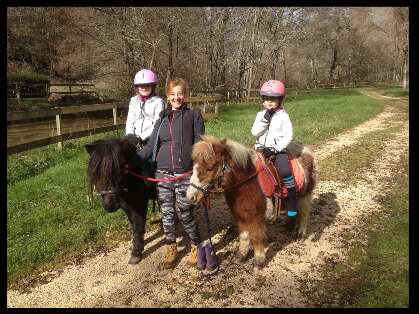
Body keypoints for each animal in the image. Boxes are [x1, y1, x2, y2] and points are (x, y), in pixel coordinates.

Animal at [187, 135, 318, 268]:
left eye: (209, 168)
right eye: (193, 166)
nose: (190, 196)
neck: (247, 182)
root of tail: (307, 150)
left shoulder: (256, 217)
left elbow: (256, 236)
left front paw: (259, 260)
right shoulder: (240, 216)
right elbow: (244, 236)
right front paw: (241, 255)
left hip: (305, 196)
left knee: (304, 214)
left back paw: (300, 234)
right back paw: (290, 226)